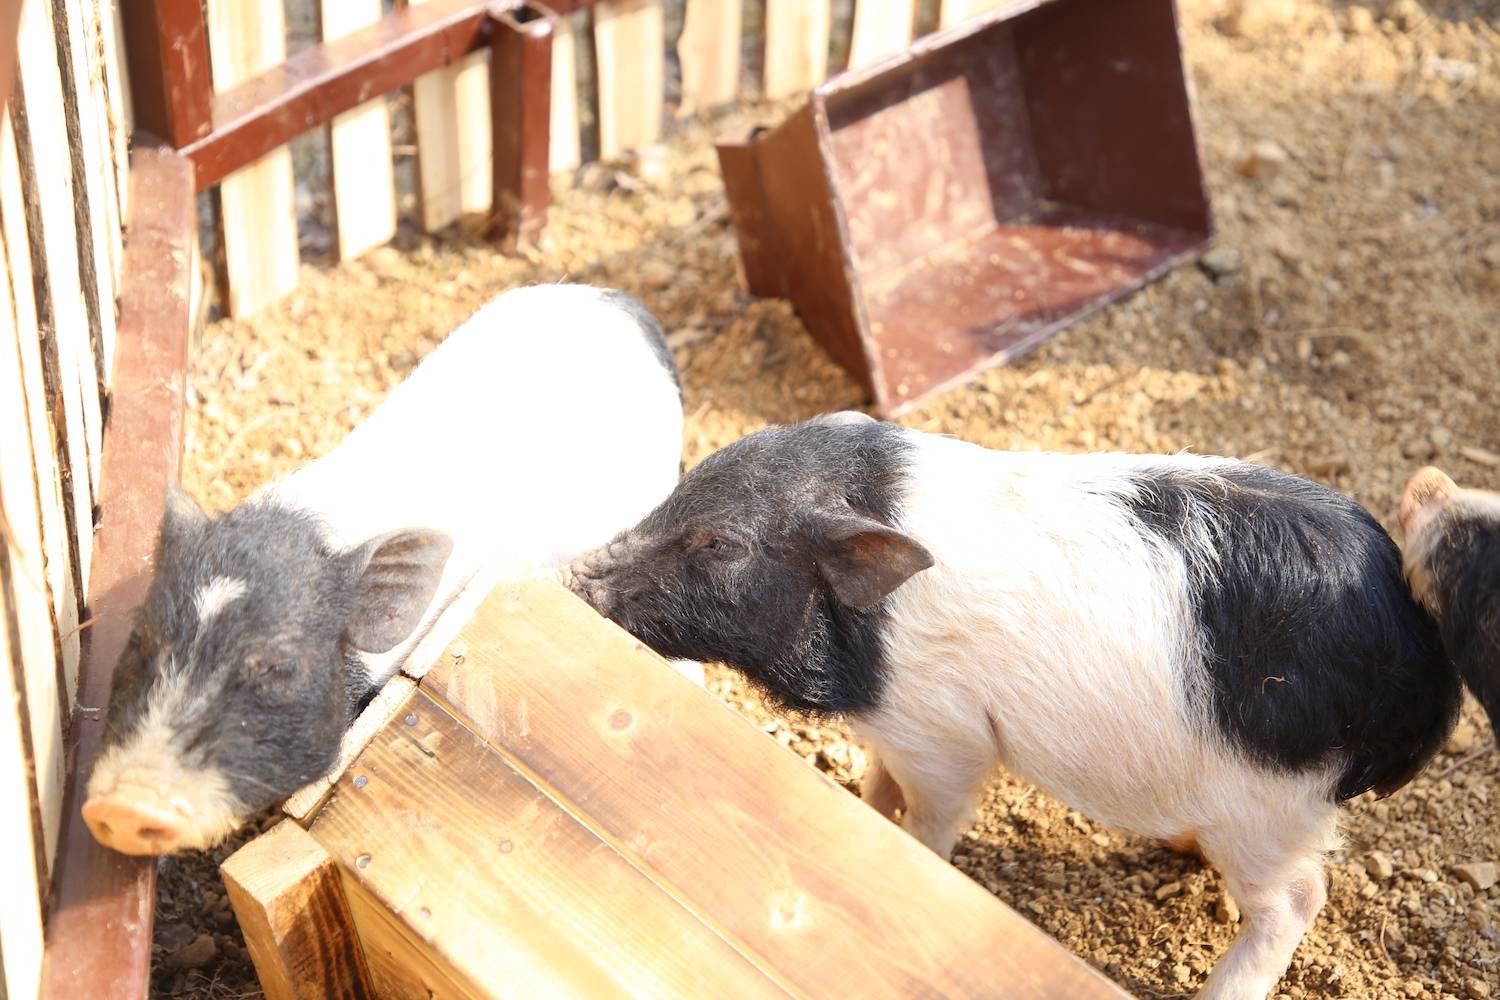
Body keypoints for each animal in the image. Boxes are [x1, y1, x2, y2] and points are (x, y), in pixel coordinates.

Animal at [564, 413, 1476, 1000]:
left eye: (720, 544)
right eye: (683, 489)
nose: (579, 578)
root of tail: (1422, 678)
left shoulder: (945, 735)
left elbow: (931, 818)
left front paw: (911, 858)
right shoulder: (895, 730)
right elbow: (875, 787)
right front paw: (862, 808)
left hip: (1271, 803)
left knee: (1298, 900)